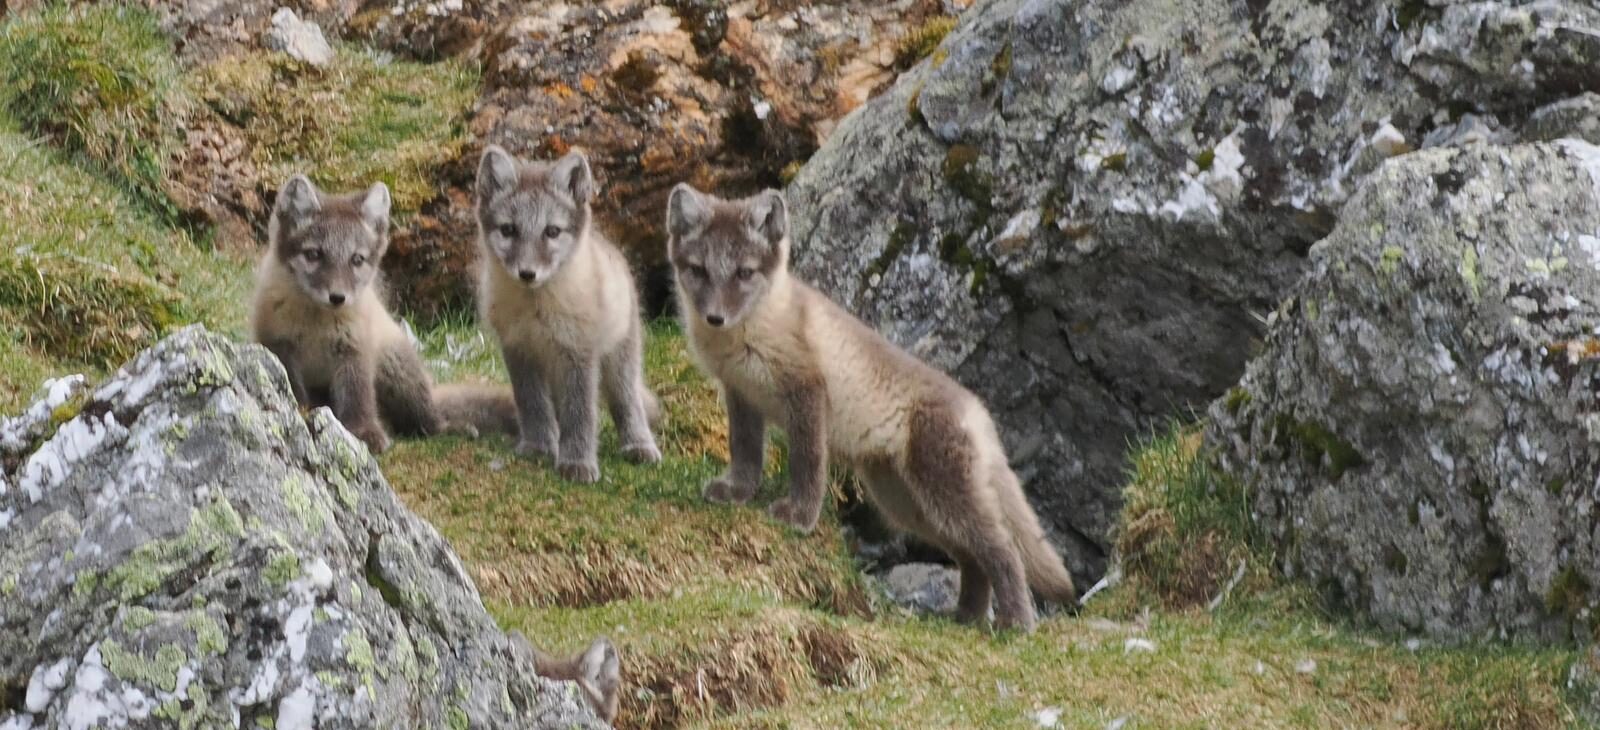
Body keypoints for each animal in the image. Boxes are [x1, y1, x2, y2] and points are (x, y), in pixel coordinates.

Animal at [251, 175, 517, 452]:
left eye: (357, 259)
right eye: (313, 254)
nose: (337, 297)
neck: (317, 326)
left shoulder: (355, 351)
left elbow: (358, 398)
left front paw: (364, 433)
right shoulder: (280, 347)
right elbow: (294, 390)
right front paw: (301, 413)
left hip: (398, 372)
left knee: (427, 421)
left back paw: (450, 427)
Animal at [474, 145, 661, 483]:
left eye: (552, 231)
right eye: (508, 230)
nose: (527, 273)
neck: (536, 311)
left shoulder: (578, 352)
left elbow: (581, 413)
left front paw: (577, 463)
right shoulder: (519, 350)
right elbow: (532, 403)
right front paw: (538, 446)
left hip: (620, 359)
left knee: (627, 401)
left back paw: (639, 445)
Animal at [665, 184, 1078, 632]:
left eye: (744, 273)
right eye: (699, 270)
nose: (715, 317)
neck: (750, 331)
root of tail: (977, 411)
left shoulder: (807, 391)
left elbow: (807, 463)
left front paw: (799, 517)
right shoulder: (740, 395)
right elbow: (744, 453)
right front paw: (737, 492)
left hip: (944, 493)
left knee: (1004, 550)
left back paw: (1014, 623)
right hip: (907, 504)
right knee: (972, 557)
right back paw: (965, 617)